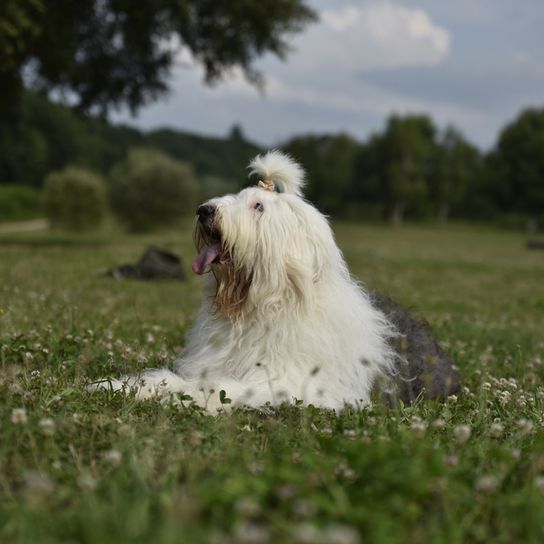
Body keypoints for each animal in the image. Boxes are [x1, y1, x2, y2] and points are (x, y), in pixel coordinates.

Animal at [92, 151, 460, 410]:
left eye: (258, 206)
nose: (204, 210)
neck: (258, 307)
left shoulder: (292, 382)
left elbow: (226, 388)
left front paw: (187, 399)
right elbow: (168, 379)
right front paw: (113, 386)